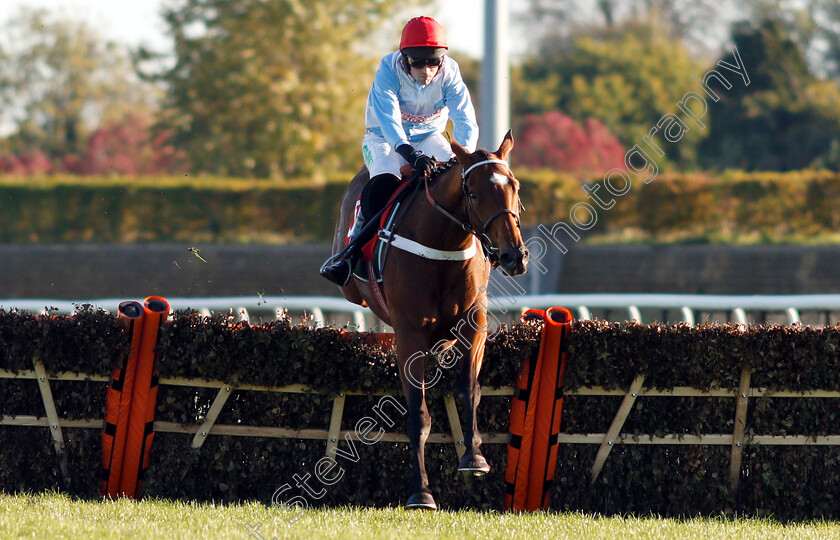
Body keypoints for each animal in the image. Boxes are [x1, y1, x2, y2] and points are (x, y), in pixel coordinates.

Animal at [326, 130, 524, 506]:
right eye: (473, 193)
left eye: (515, 188)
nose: (513, 255)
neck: (444, 247)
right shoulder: (410, 335)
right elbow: (418, 416)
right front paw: (421, 491)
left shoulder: (475, 326)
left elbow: (469, 390)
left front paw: (475, 459)